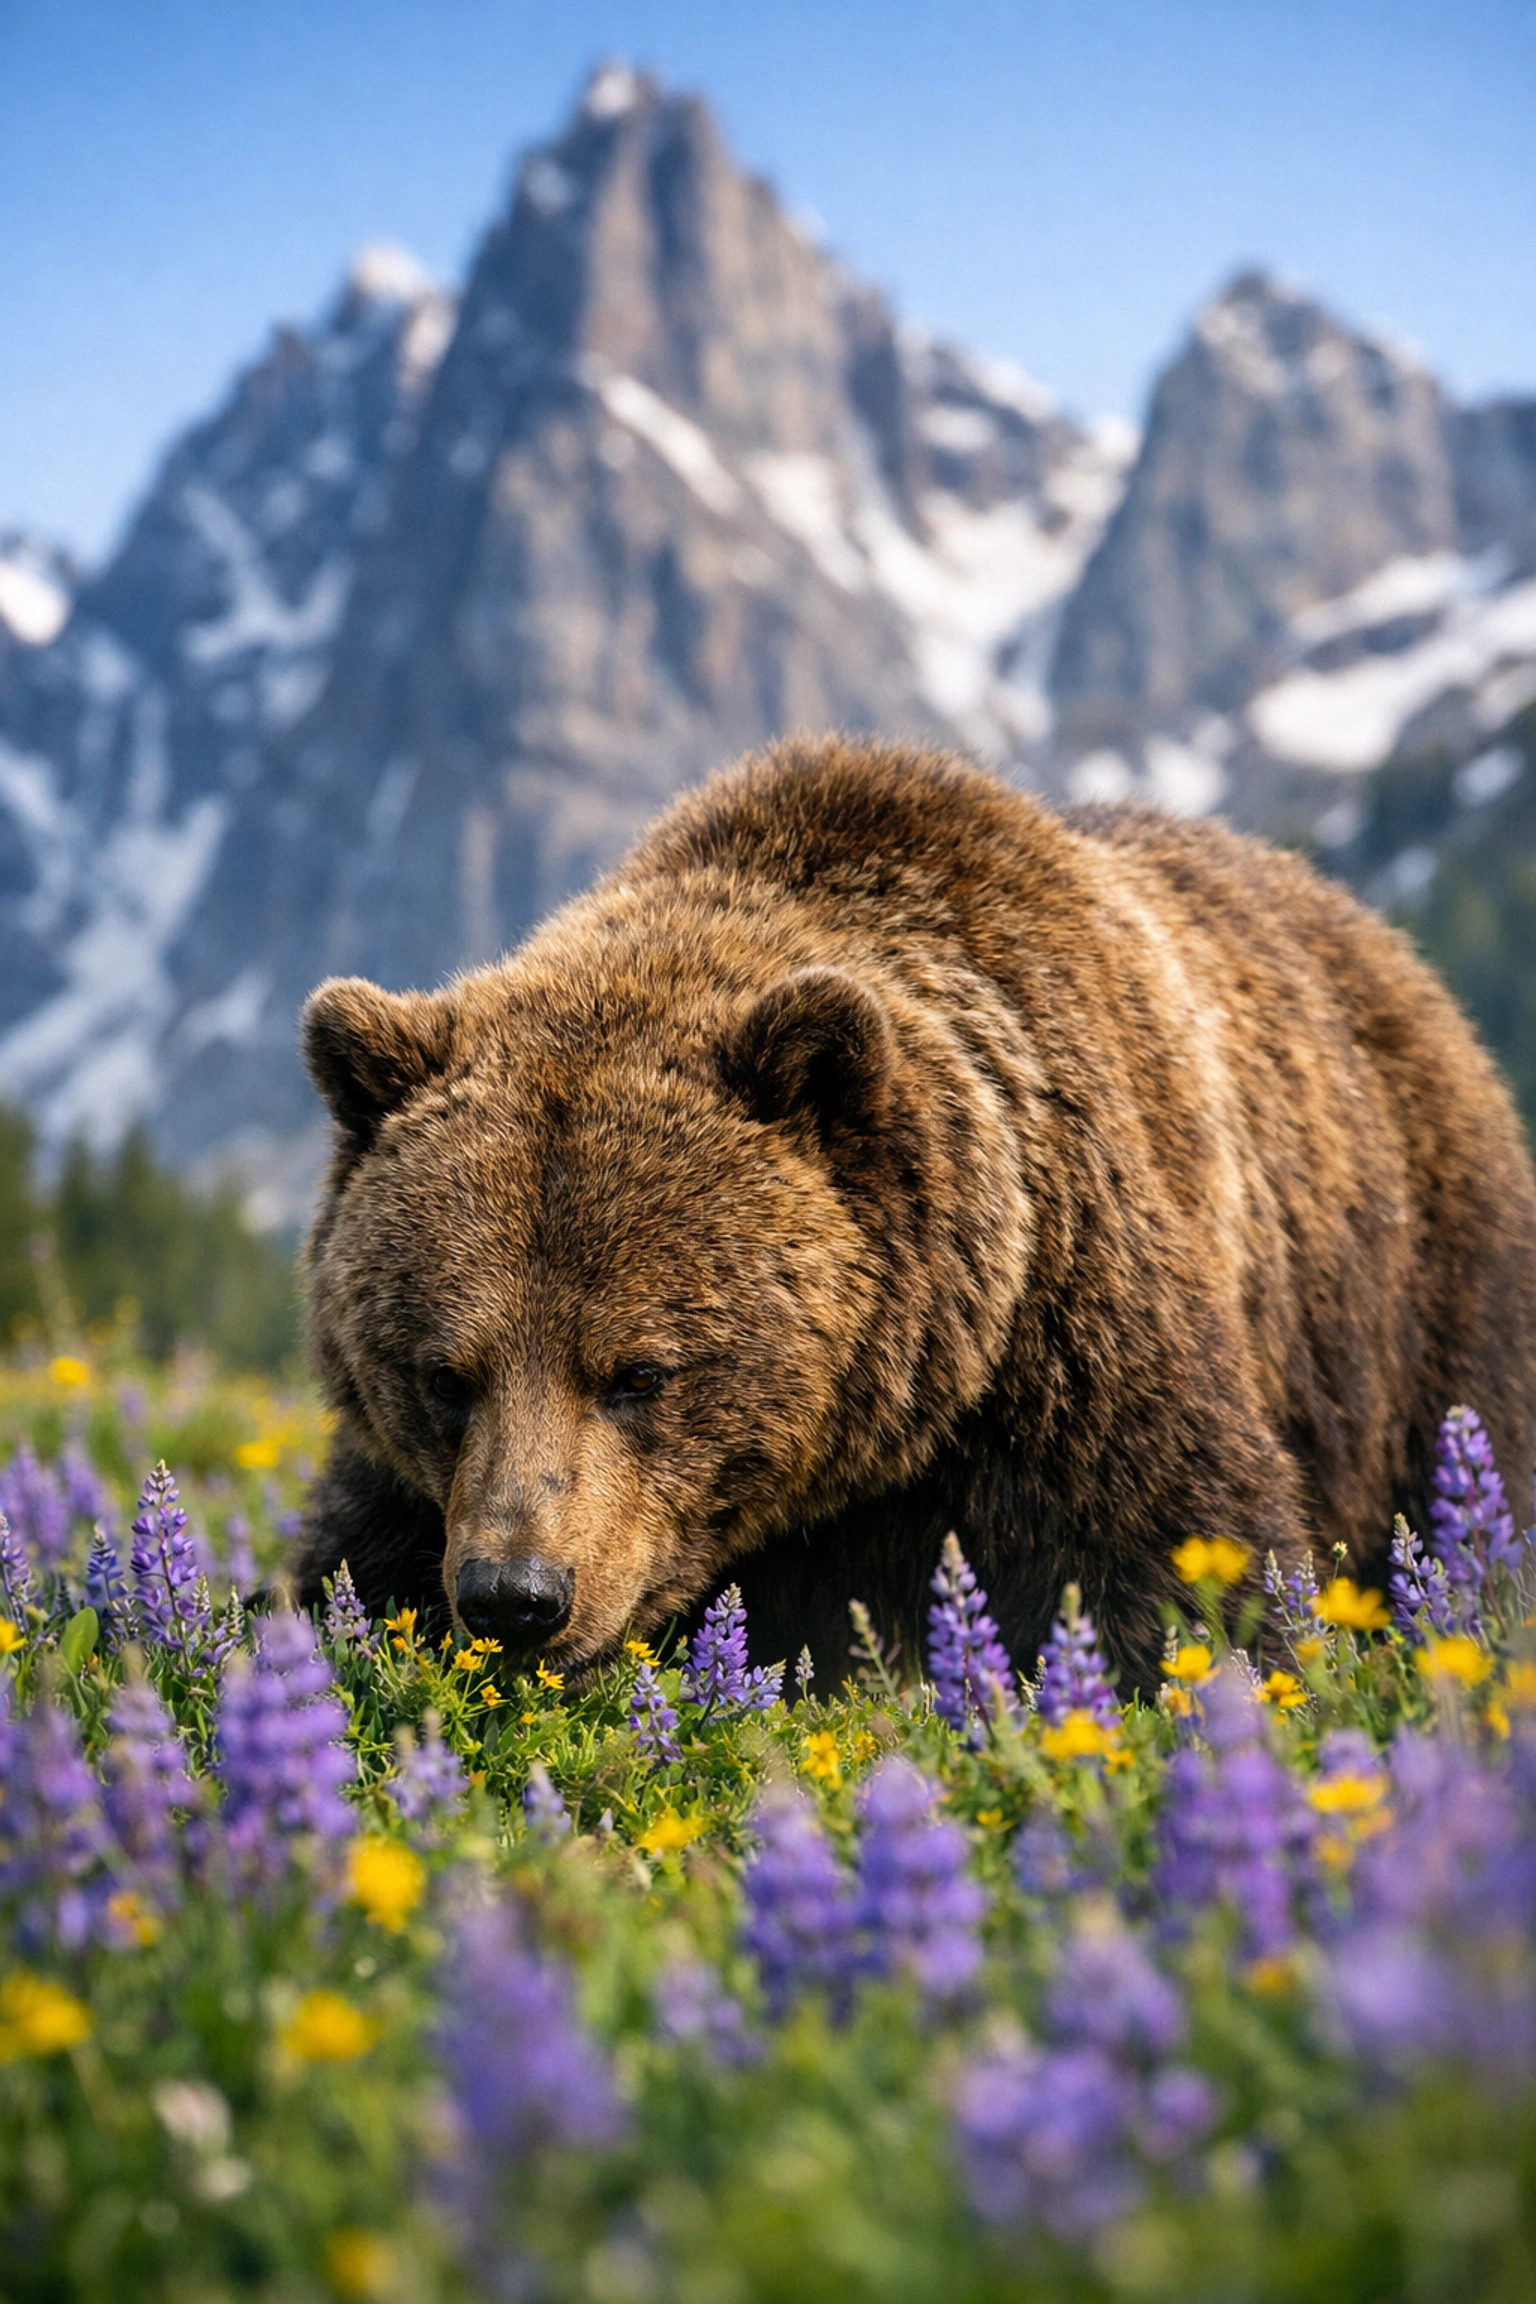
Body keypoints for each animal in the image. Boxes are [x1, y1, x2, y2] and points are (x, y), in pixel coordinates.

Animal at [289, 735, 1536, 1694]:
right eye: (445, 1375)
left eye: (640, 1370)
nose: (516, 1595)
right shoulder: (413, 1488)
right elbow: (355, 1570)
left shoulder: (1079, 1341)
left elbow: (1178, 1567)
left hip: (1411, 1288)